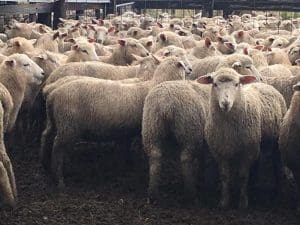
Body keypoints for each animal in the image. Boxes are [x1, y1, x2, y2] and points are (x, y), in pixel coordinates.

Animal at [41, 56, 192, 188]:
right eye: (183, 65)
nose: (191, 69)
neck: (154, 83)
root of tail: (53, 93)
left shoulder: (127, 129)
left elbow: (126, 146)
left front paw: (127, 161)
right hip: (68, 125)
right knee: (57, 148)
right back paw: (59, 179)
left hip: (54, 121)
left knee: (46, 136)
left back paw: (45, 165)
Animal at [198, 67, 288, 208]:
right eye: (215, 84)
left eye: (236, 84)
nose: (225, 103)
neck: (227, 125)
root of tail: (262, 83)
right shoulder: (220, 151)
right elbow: (224, 176)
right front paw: (224, 201)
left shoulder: (247, 152)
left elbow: (243, 176)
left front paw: (242, 202)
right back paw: (254, 184)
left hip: (274, 141)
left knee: (276, 162)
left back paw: (280, 189)